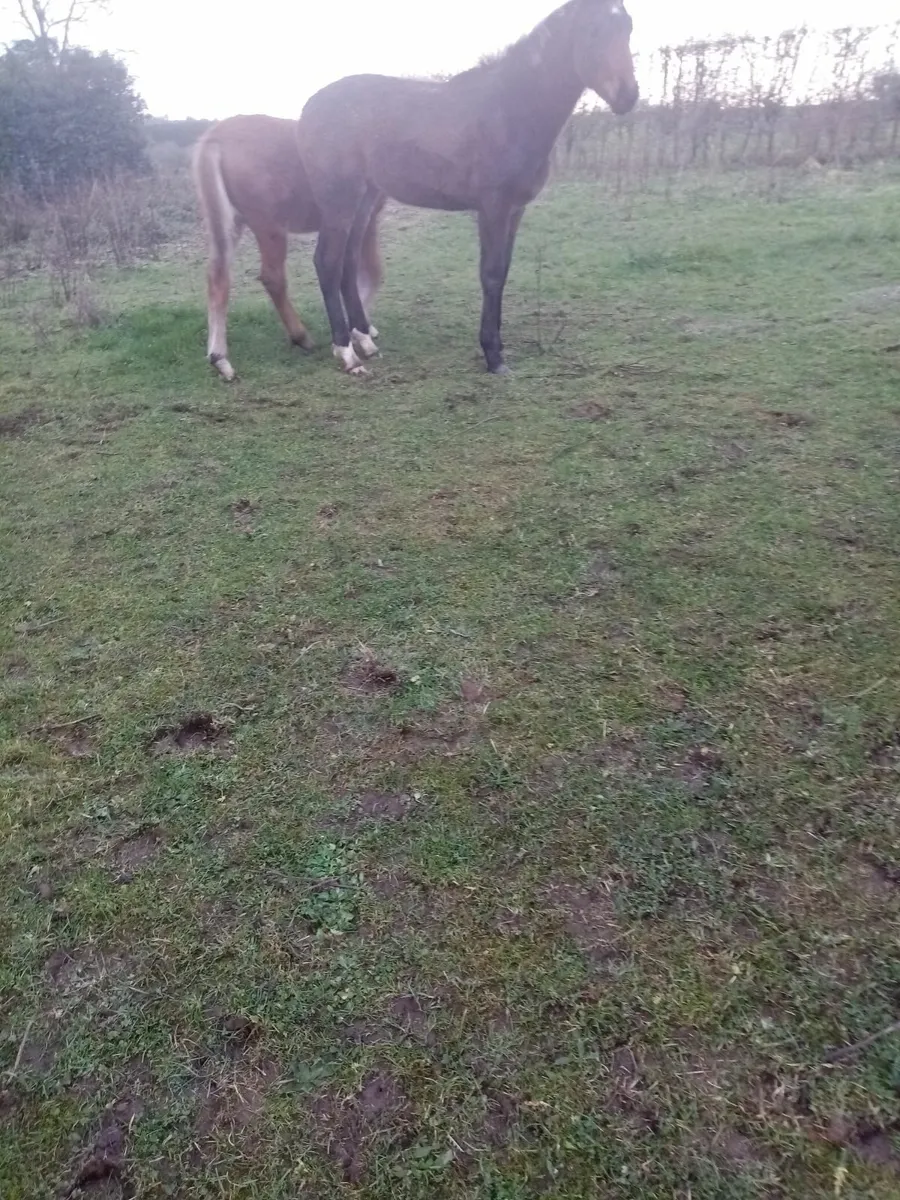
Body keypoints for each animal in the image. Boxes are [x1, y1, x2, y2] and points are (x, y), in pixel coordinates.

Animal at [192, 114, 384, 381]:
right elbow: (370, 272)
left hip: (229, 224)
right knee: (273, 278)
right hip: (270, 226)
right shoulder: (366, 218)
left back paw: (220, 359)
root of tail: (216, 138)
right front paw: (359, 333)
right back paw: (301, 336)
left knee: (217, 278)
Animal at [295, 0, 637, 377]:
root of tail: (309, 107)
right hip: (339, 198)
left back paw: (365, 342)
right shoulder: (492, 208)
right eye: (593, 31)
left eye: (628, 27)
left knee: (348, 261)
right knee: (327, 262)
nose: (628, 95)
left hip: (366, 198)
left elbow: (503, 272)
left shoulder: (515, 210)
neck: (510, 109)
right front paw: (493, 356)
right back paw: (347, 354)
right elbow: (490, 274)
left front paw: (497, 347)